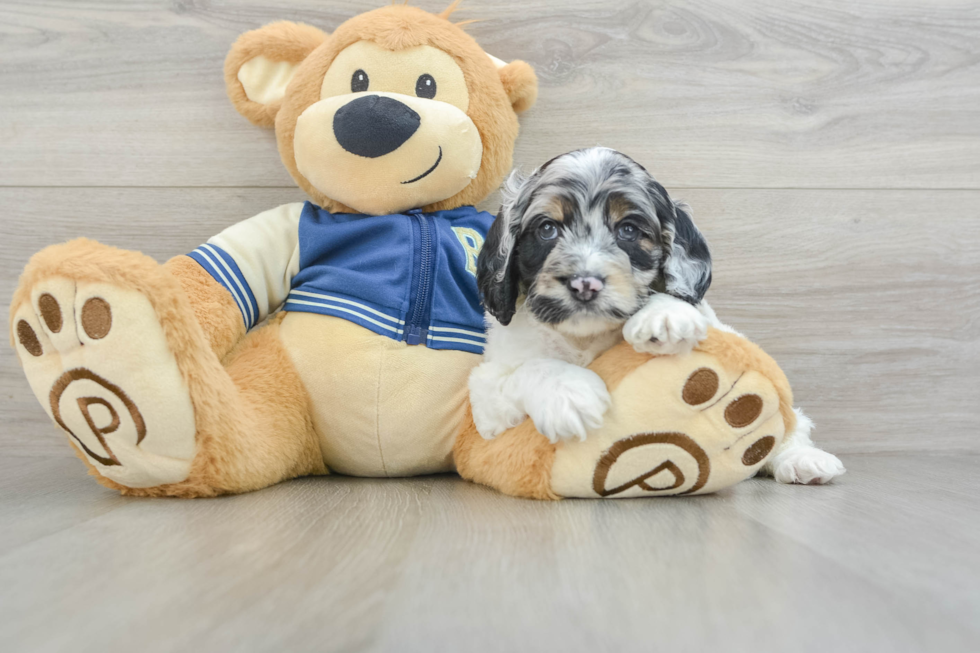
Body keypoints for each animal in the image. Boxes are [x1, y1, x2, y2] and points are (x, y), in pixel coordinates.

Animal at [468, 148, 844, 484]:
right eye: (547, 229)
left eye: (628, 230)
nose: (584, 283)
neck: (585, 337)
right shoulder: (487, 396)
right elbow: (527, 370)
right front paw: (569, 395)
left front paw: (664, 314)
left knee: (793, 424)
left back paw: (804, 459)